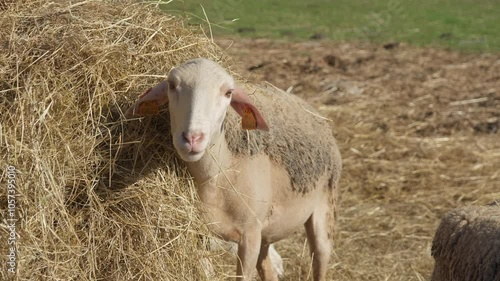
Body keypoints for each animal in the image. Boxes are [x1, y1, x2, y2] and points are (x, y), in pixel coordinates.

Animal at [127, 58, 342, 278]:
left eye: (228, 92)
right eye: (172, 85)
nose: (192, 138)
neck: (217, 176)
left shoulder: (249, 235)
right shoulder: (202, 233)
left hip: (325, 208)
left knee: (320, 257)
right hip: (265, 231)